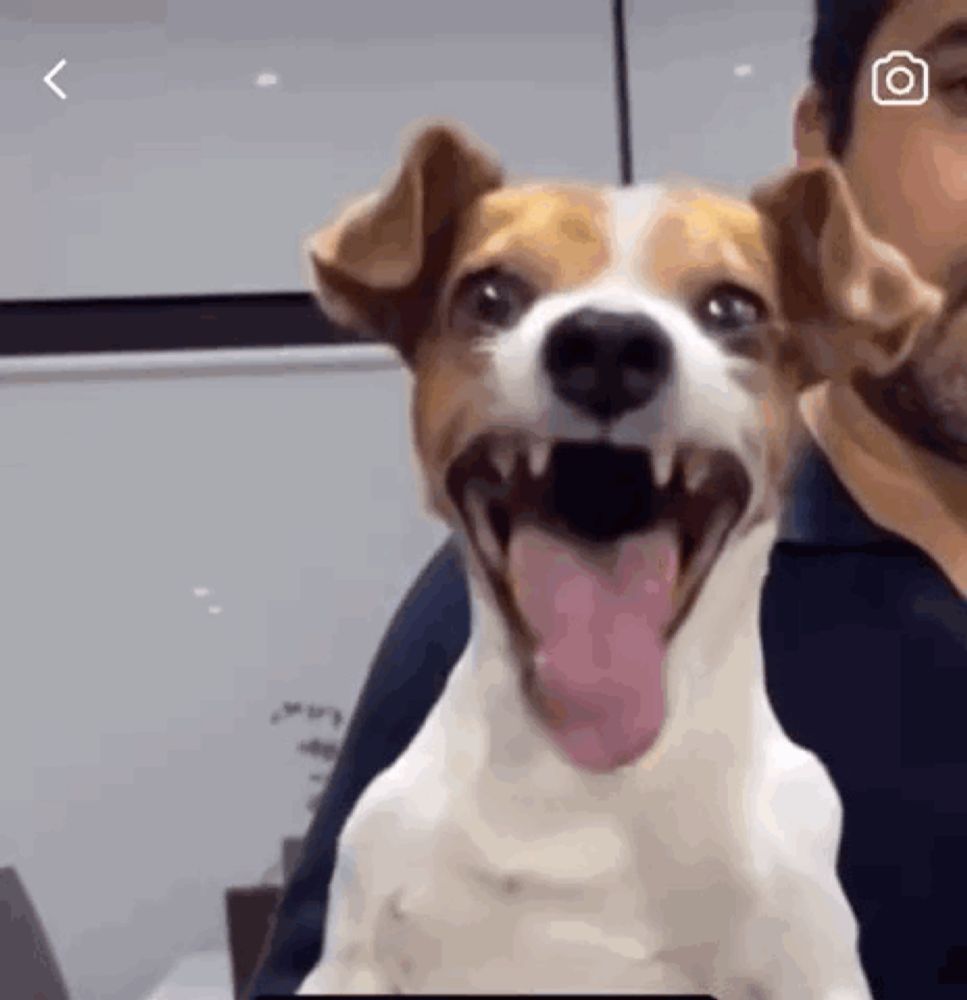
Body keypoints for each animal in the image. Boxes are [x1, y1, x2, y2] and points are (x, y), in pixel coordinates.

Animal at [296, 121, 944, 996]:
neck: (581, 779)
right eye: (489, 295)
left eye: (732, 307)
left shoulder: (808, 966)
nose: (606, 343)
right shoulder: (352, 965)